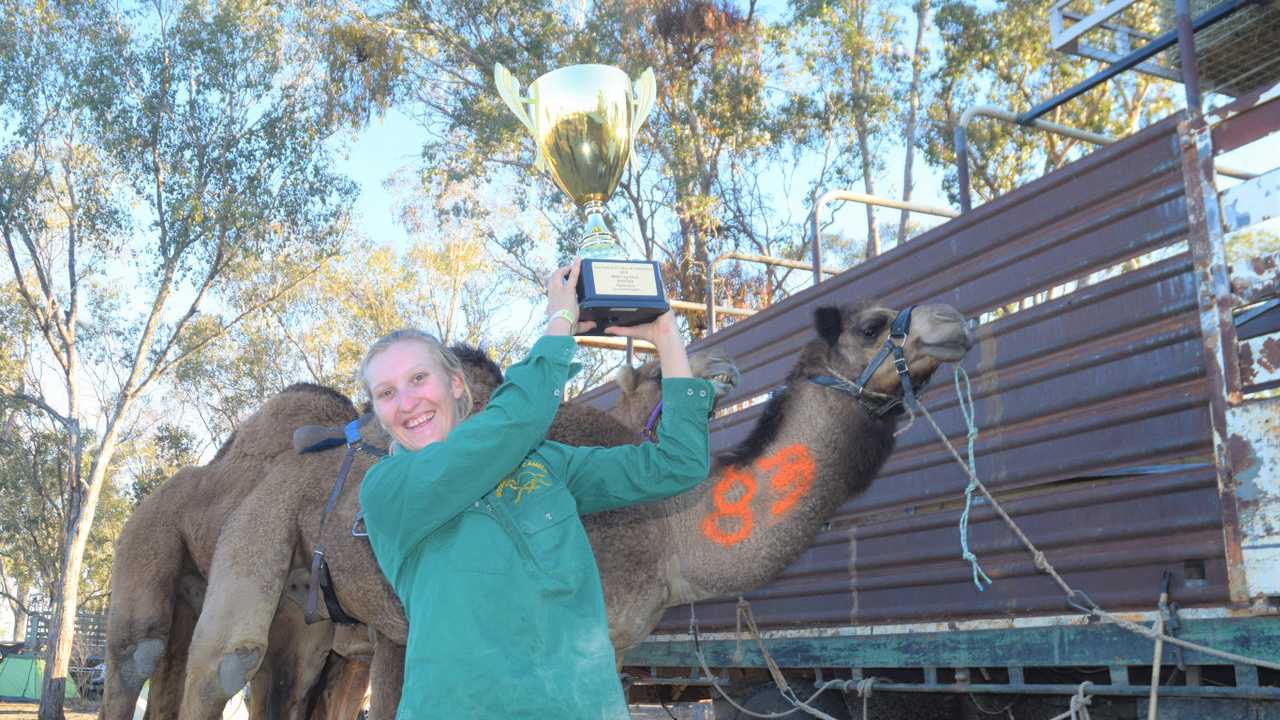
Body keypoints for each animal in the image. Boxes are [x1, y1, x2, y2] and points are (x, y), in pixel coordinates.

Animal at [180, 299, 967, 712]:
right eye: (873, 325)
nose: (952, 319)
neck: (673, 538)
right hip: (258, 530)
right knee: (220, 663)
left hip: (328, 619)